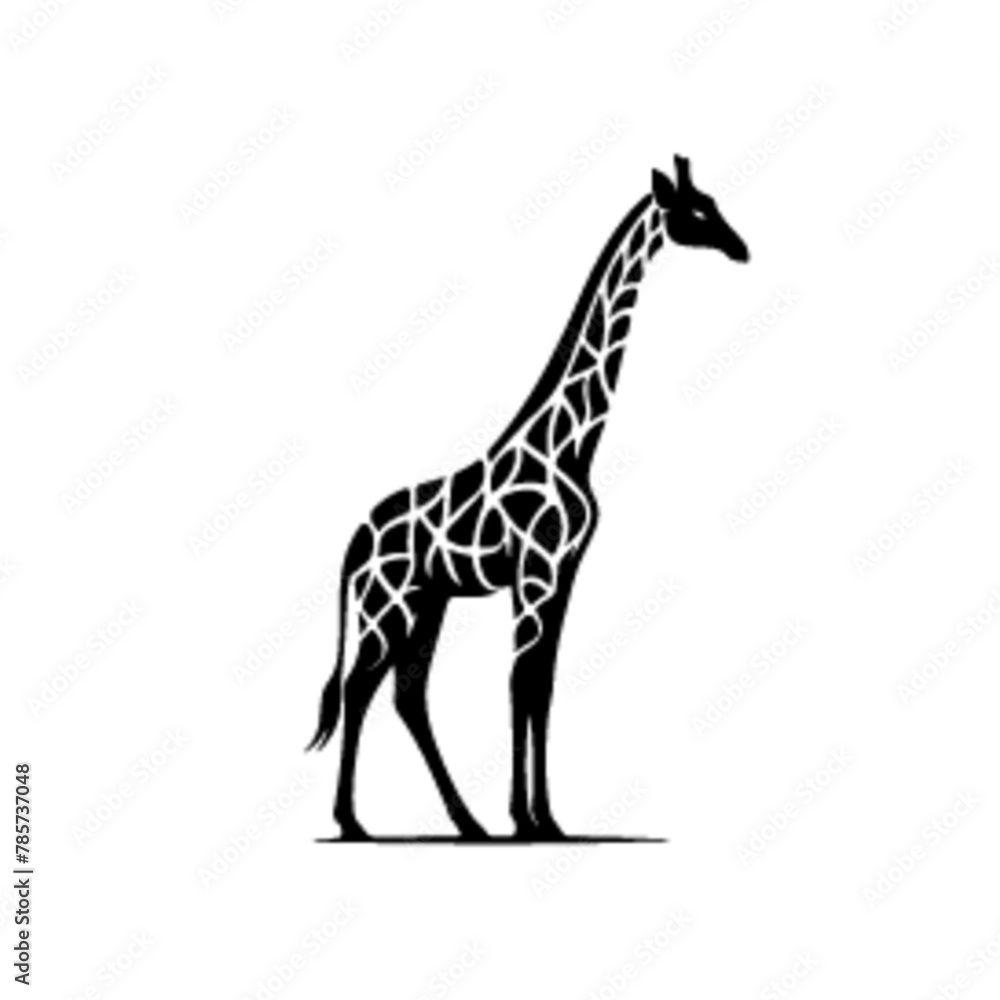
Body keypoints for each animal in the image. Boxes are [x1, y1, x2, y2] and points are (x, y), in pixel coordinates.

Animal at [308, 156, 749, 841]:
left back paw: (466, 821)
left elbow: (542, 683)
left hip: (427, 601)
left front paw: (546, 818)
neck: (570, 446)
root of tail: (357, 538)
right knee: (359, 688)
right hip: (387, 603)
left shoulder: (564, 572)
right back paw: (353, 822)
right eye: (696, 211)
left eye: (714, 203)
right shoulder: (536, 571)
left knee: (407, 693)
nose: (741, 248)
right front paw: (525, 817)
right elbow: (520, 682)